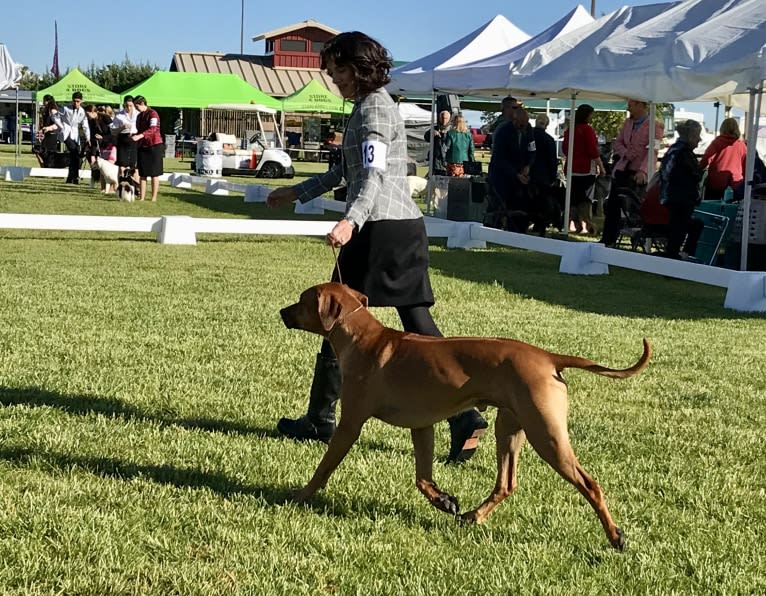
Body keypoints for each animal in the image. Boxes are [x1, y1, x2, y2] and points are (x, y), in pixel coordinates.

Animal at [280, 282, 652, 552]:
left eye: (302, 300)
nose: (282, 311)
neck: (364, 338)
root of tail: (547, 357)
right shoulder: (422, 425)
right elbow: (423, 478)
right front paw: (445, 501)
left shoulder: (350, 424)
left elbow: (324, 467)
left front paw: (299, 496)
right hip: (510, 428)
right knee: (506, 483)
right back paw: (474, 515)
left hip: (546, 434)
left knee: (590, 484)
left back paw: (616, 536)